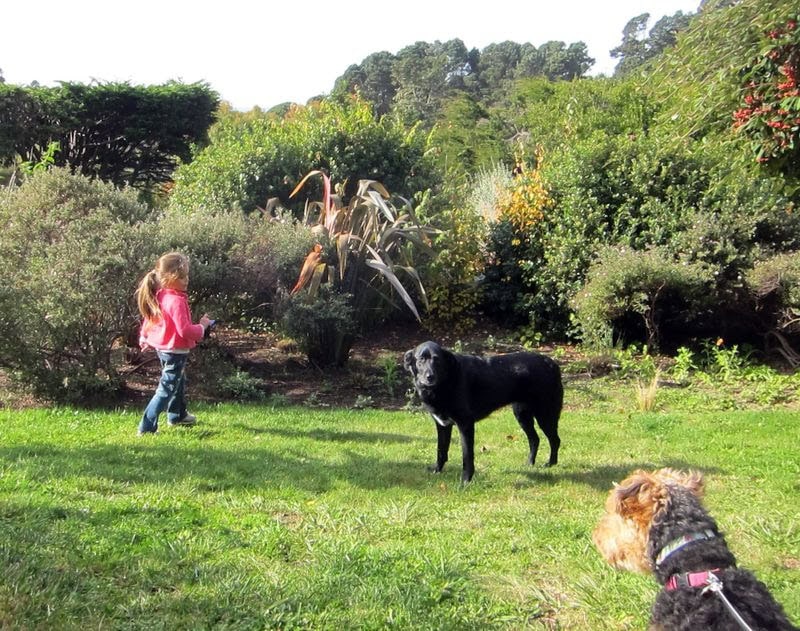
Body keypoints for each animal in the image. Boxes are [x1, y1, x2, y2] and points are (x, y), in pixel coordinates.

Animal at [400, 340, 564, 484]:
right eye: (421, 360)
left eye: (437, 360)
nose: (430, 376)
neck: (446, 381)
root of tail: (551, 363)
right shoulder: (442, 424)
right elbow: (441, 451)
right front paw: (437, 471)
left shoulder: (465, 424)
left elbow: (467, 456)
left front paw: (466, 481)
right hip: (521, 414)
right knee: (535, 439)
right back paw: (530, 463)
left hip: (545, 414)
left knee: (555, 439)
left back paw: (551, 464)